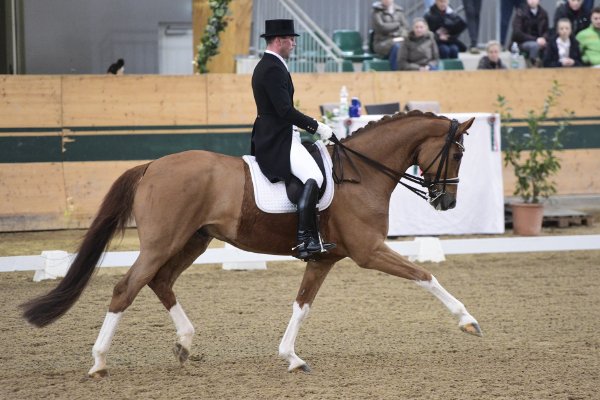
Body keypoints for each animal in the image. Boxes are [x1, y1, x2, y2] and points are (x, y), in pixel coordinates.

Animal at [21, 110, 482, 378]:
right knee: (126, 288)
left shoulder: (324, 259)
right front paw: (467, 320)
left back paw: (185, 343)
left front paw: (291, 357)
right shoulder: (369, 252)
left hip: (192, 242)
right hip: (163, 241)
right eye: (458, 152)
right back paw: (99, 362)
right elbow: (424, 274)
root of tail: (152, 165)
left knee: (160, 282)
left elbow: (302, 305)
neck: (361, 174)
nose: (447, 202)